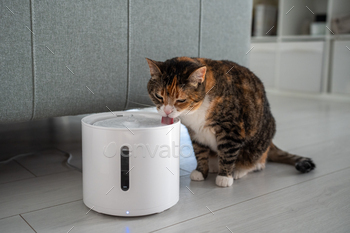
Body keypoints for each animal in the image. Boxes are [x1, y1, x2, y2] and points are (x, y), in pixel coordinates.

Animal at [145, 56, 314, 187]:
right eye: (159, 96)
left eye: (181, 100)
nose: (167, 111)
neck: (196, 110)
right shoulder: (195, 132)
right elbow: (200, 152)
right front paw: (201, 171)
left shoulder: (231, 129)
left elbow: (228, 152)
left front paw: (224, 177)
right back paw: (214, 165)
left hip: (260, 139)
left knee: (257, 162)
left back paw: (239, 170)